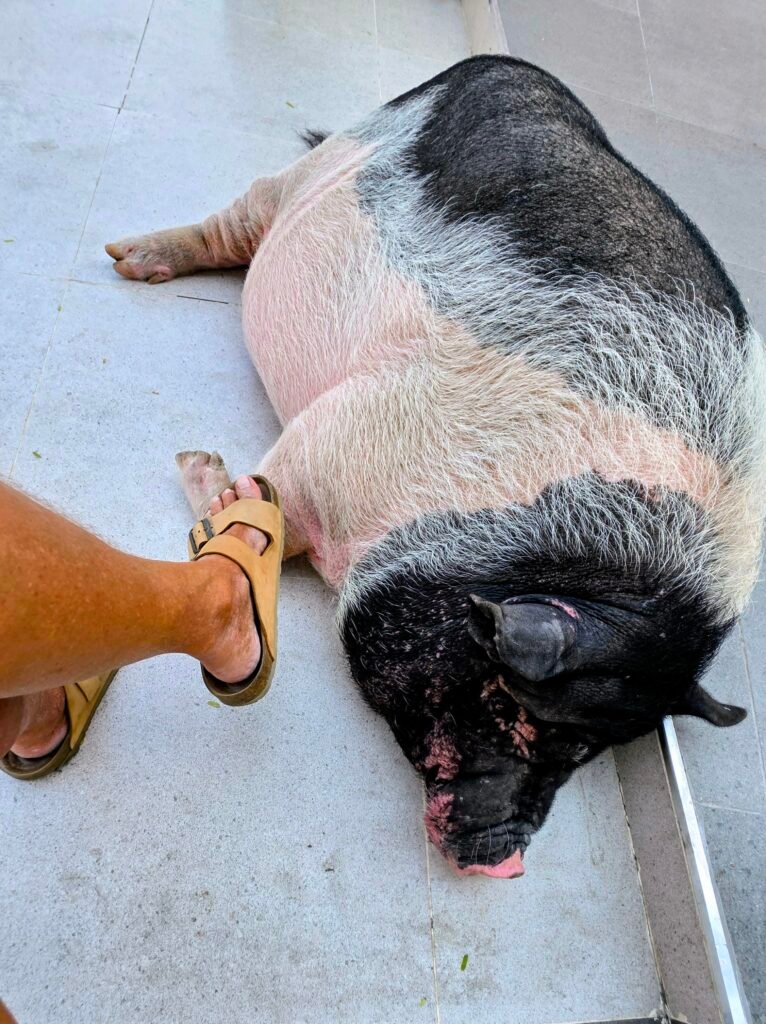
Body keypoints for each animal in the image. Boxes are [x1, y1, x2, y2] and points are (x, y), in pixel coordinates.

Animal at [106, 56, 766, 878]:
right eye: (513, 710)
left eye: (587, 754)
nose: (503, 860)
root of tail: (498, 63)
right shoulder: (343, 433)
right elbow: (268, 507)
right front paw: (204, 468)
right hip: (328, 162)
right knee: (248, 210)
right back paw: (126, 262)